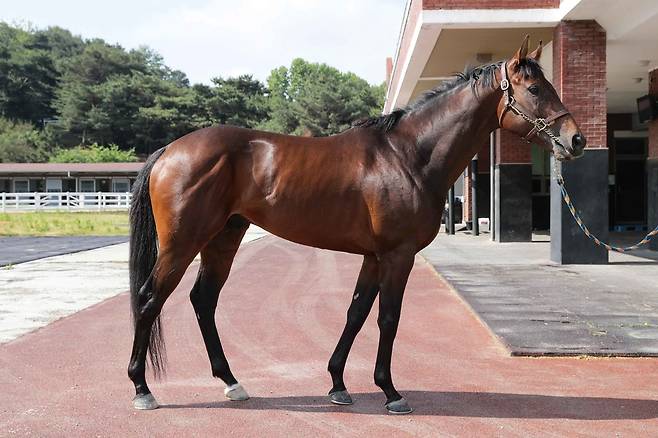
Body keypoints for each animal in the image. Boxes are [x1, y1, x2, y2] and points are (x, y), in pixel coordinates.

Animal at [127, 37, 584, 414]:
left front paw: (338, 384)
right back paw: (142, 389)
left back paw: (232, 383)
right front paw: (391, 392)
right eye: (535, 89)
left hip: (223, 238)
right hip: (182, 243)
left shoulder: (373, 256)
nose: (576, 140)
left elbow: (356, 312)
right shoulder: (397, 255)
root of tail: (169, 150)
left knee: (203, 301)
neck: (407, 155)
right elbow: (388, 318)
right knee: (150, 299)